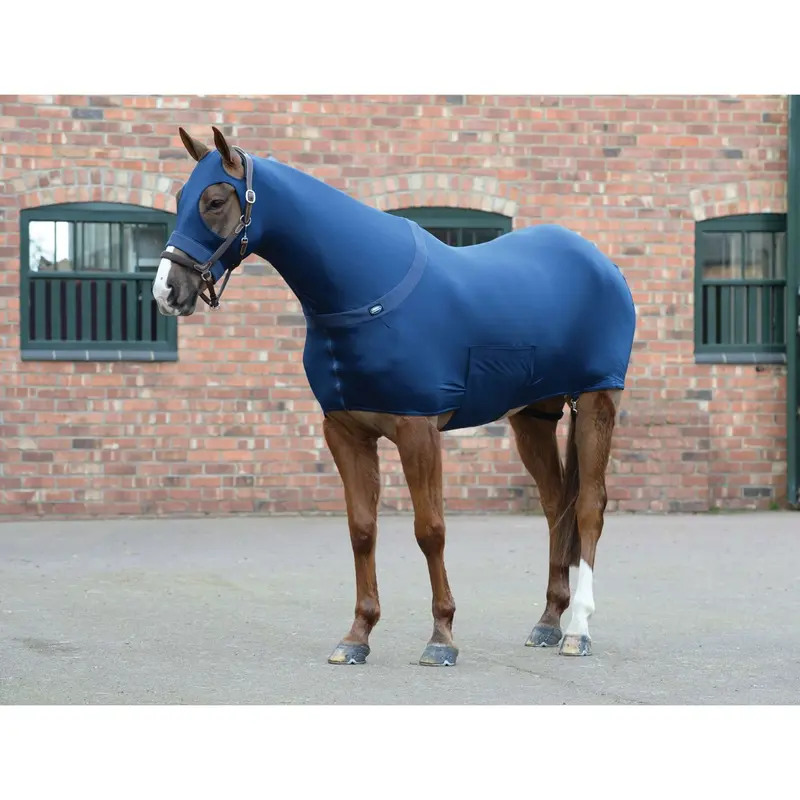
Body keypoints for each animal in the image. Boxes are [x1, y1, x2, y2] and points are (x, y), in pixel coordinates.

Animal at [152, 126, 636, 667]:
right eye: (181, 197)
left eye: (215, 200)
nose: (167, 291)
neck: (366, 289)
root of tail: (602, 263)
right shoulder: (345, 432)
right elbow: (362, 530)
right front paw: (356, 637)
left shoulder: (418, 428)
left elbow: (430, 530)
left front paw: (441, 638)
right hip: (533, 417)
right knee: (557, 507)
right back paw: (548, 622)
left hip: (597, 401)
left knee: (590, 506)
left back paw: (578, 630)